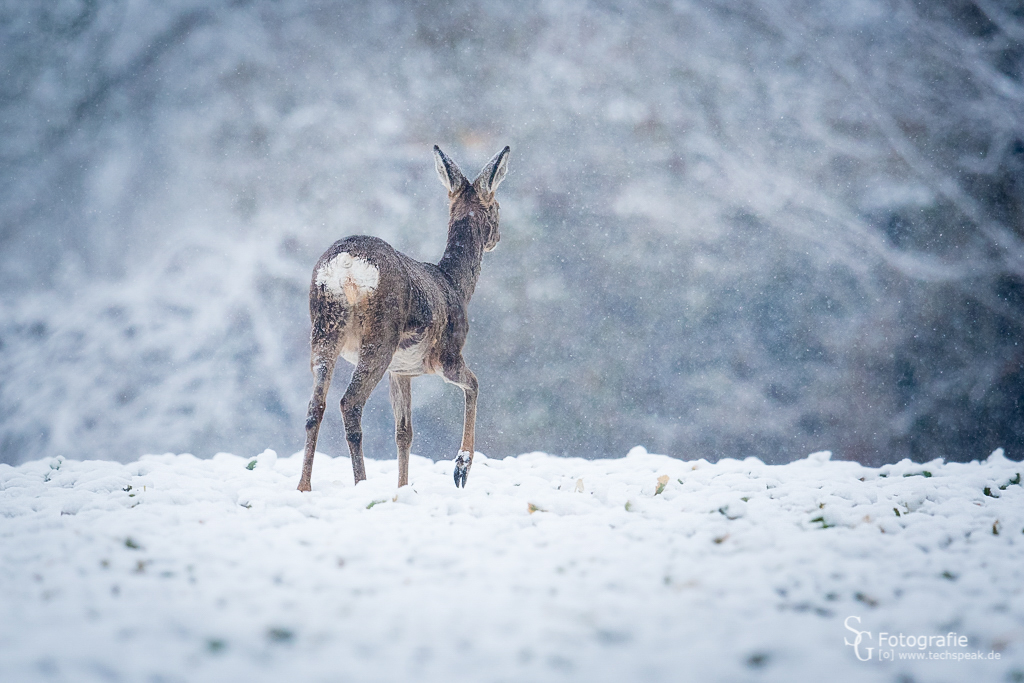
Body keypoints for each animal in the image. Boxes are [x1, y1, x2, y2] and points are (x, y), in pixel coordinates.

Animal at [296, 144, 507, 491]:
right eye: (497, 207)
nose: (497, 238)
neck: (455, 285)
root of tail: (347, 266)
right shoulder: (446, 356)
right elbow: (475, 384)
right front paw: (461, 467)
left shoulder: (402, 370)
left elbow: (404, 433)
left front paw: (403, 487)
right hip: (380, 334)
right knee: (349, 403)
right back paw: (361, 483)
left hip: (324, 327)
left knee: (316, 405)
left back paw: (304, 485)